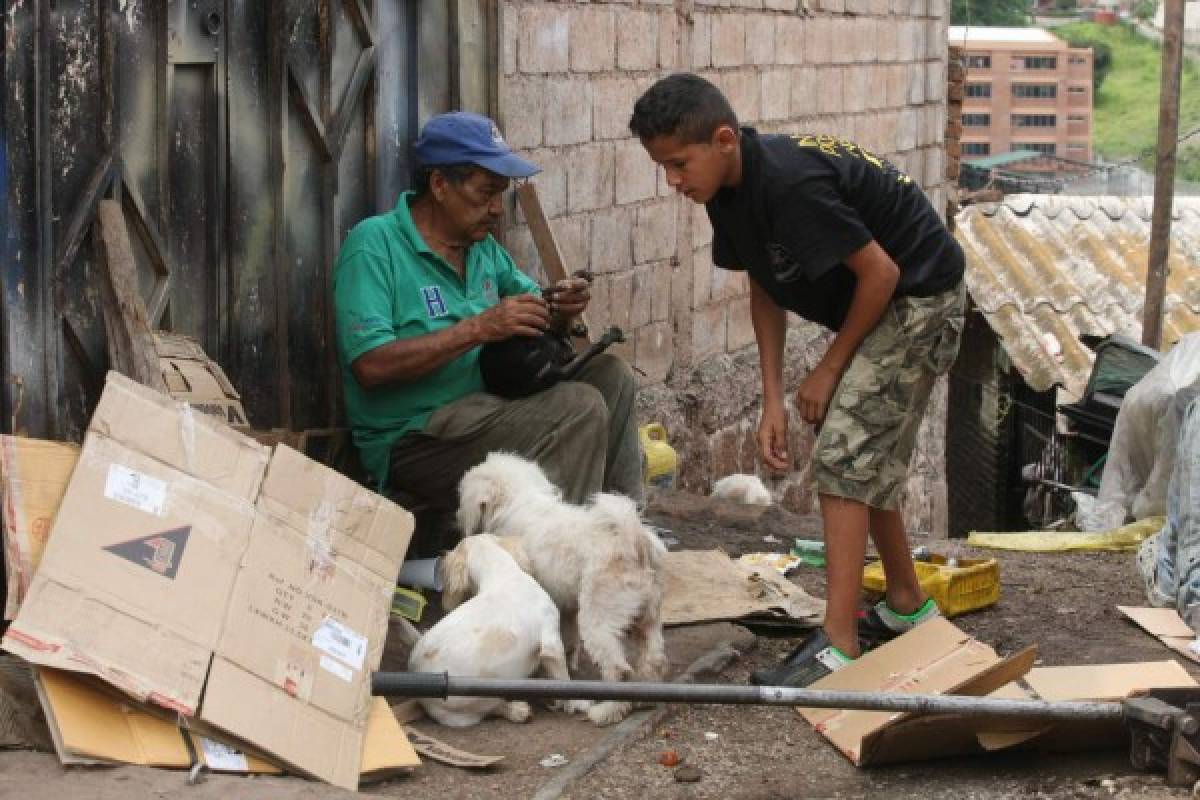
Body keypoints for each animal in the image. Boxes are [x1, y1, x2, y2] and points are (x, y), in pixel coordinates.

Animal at [403, 534, 576, 729]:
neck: (505, 576)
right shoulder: (552, 641)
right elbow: (564, 677)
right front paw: (573, 703)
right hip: (479, 700)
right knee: (495, 708)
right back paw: (519, 711)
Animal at [456, 453, 672, 729]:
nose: (456, 517)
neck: (520, 499)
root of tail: (633, 540)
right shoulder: (566, 605)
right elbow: (567, 639)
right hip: (648, 616)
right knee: (654, 660)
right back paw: (645, 698)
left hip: (599, 620)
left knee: (618, 669)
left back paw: (606, 712)